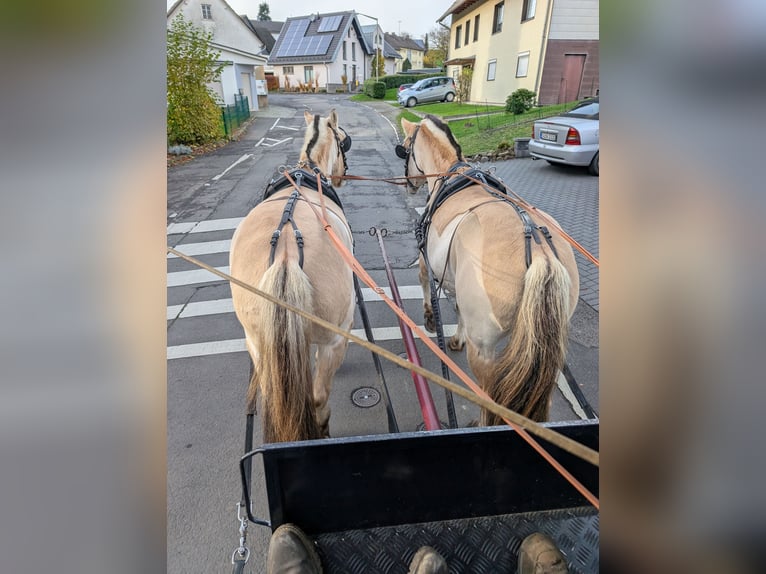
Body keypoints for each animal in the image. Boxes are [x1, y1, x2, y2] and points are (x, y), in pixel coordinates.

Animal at [230, 111, 356, 446]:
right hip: (334, 335)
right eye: (343, 139)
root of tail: (286, 253)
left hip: (258, 342)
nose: (342, 175)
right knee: (318, 396)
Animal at [400, 115, 580, 426]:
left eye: (404, 148)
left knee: (489, 395)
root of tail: (541, 254)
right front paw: (456, 337)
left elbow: (425, 280)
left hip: (483, 350)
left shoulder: (428, 259)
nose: (408, 184)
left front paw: (430, 317)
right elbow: (458, 306)